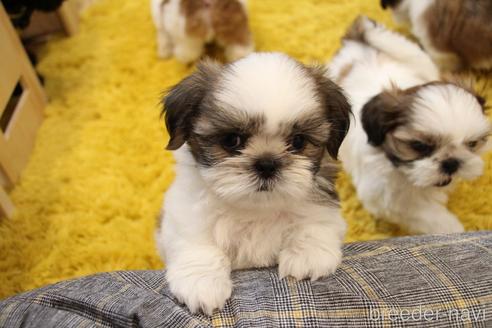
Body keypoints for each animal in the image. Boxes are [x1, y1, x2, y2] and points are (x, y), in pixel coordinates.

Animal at [156, 52, 352, 314]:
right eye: (231, 140)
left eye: (298, 142)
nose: (267, 164)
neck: (256, 209)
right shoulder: (185, 213)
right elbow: (197, 241)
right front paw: (201, 281)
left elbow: (316, 222)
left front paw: (308, 254)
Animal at [328, 16, 490, 236]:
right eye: (419, 146)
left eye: (472, 144)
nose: (452, 163)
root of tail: (357, 45)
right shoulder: (384, 196)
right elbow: (423, 213)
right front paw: (451, 228)